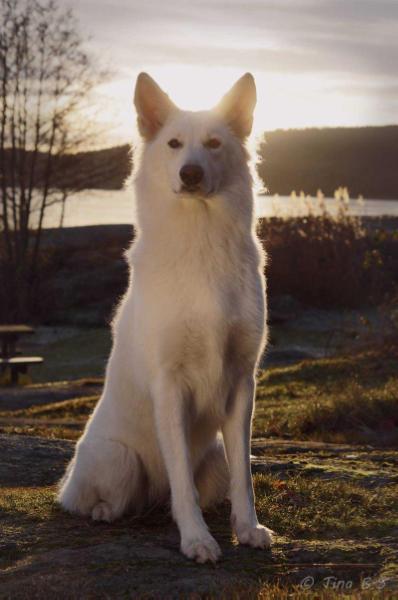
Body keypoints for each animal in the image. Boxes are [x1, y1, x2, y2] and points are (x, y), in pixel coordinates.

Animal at [57, 71, 272, 564]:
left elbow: (244, 477)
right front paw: (196, 540)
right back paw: (103, 511)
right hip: (119, 462)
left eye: (213, 143)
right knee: (104, 500)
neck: (201, 242)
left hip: (213, 456)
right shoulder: (170, 384)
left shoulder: (242, 383)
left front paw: (247, 529)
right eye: (174, 144)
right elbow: (182, 483)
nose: (190, 173)